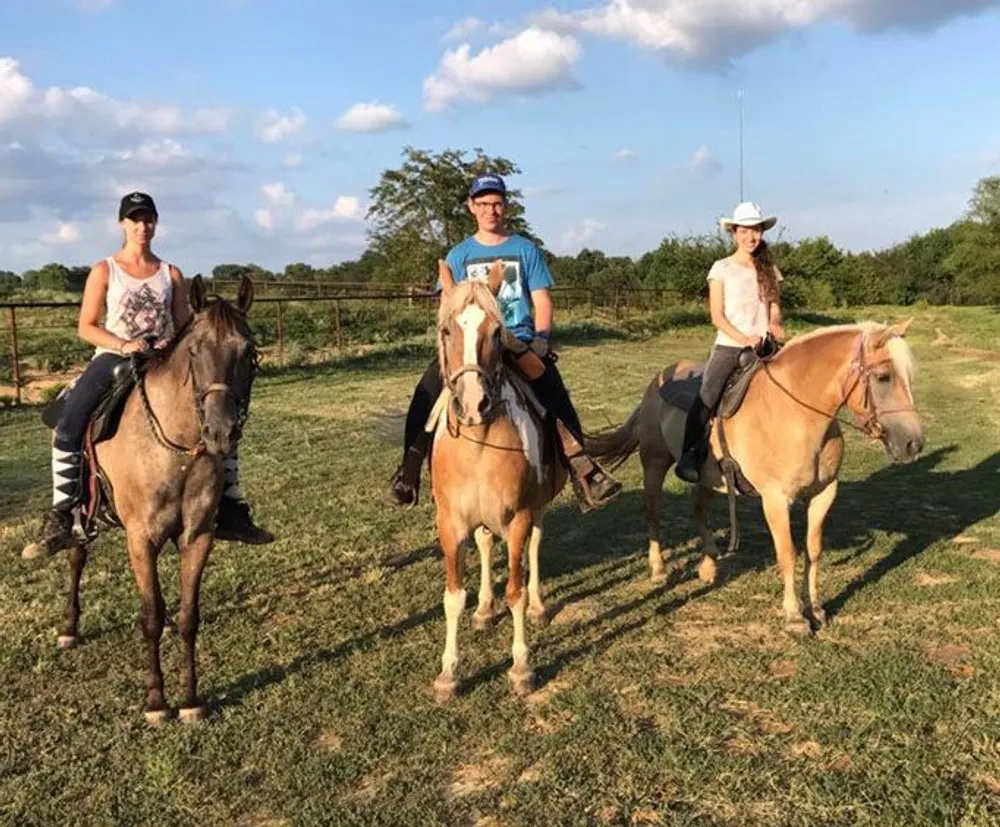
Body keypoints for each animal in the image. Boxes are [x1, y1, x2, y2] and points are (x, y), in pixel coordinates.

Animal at [27, 274, 262, 720]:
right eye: (194, 350)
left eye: (249, 352)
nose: (221, 432)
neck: (176, 448)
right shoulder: (141, 537)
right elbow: (149, 614)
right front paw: (156, 701)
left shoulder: (197, 536)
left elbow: (188, 615)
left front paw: (189, 700)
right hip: (83, 513)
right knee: (77, 556)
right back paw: (69, 626)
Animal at [430, 262, 572, 700]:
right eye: (447, 330)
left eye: (496, 332)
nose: (473, 404)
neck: (477, 444)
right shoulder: (450, 524)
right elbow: (453, 597)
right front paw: (448, 673)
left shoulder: (519, 518)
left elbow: (516, 591)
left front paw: (521, 667)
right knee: (483, 542)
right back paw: (484, 609)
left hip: (538, 508)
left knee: (536, 548)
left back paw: (540, 604)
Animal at [584, 318, 920, 632]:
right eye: (883, 377)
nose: (913, 444)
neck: (795, 415)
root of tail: (657, 380)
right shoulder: (775, 500)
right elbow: (788, 554)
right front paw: (795, 617)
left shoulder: (824, 494)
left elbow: (813, 551)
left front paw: (817, 609)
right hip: (654, 463)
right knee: (653, 511)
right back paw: (658, 569)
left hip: (707, 477)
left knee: (698, 510)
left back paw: (708, 566)